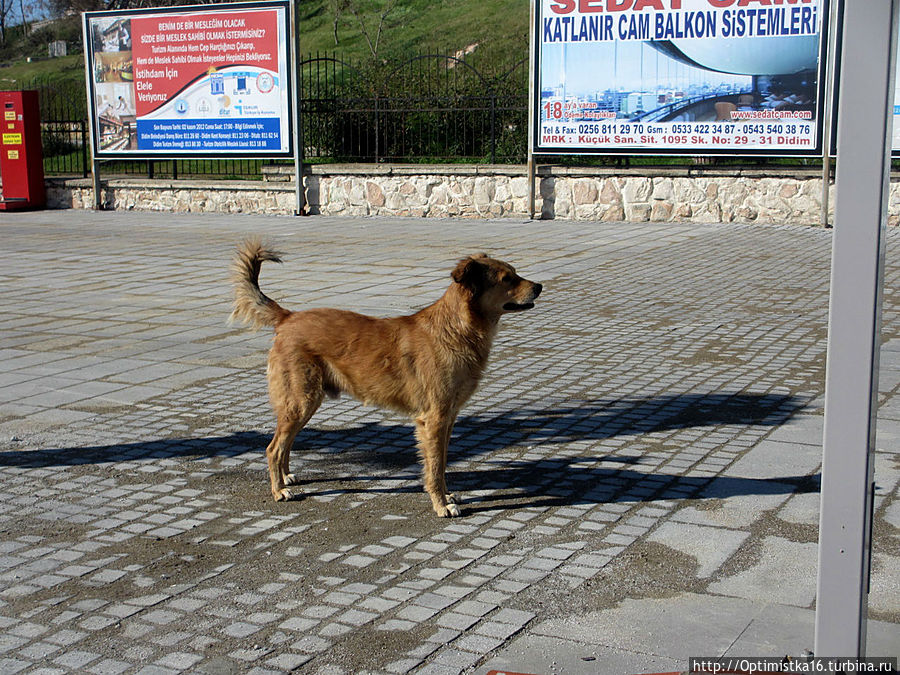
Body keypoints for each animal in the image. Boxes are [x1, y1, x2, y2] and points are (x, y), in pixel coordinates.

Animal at [232, 240, 540, 520]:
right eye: (507, 278)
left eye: (514, 273)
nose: (539, 286)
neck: (455, 329)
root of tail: (288, 318)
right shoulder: (434, 420)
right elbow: (434, 467)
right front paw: (441, 505)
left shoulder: (449, 418)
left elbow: (441, 464)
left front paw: (446, 495)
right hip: (300, 401)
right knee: (273, 448)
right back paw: (278, 490)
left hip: (302, 404)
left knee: (285, 445)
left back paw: (286, 478)